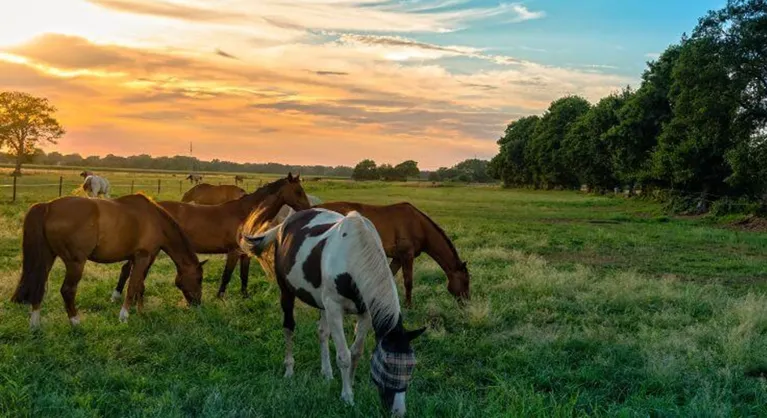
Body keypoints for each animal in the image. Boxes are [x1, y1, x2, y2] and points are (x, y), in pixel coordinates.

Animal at [11, 194, 206, 328]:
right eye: (199, 279)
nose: (197, 304)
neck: (155, 220)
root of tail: (49, 206)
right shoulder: (143, 257)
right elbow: (133, 286)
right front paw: (124, 316)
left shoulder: (139, 258)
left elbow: (139, 284)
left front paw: (140, 311)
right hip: (75, 263)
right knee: (67, 290)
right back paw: (75, 322)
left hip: (47, 258)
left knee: (39, 286)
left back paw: (35, 324)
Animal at [111, 173, 311, 301]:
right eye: (298, 191)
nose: (308, 209)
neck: (244, 214)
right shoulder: (233, 251)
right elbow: (227, 275)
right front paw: (220, 296)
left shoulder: (245, 253)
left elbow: (244, 275)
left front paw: (245, 296)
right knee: (127, 269)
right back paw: (117, 295)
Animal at [240, 208, 425, 416]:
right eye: (386, 364)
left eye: (411, 367)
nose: (398, 412)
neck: (353, 255)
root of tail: (284, 224)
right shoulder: (335, 309)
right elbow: (344, 356)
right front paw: (347, 397)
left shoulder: (365, 312)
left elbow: (356, 352)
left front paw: (350, 384)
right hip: (287, 291)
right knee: (288, 327)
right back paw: (289, 370)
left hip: (322, 304)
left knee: (322, 332)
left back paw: (327, 373)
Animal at [313, 202, 469, 307]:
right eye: (466, 281)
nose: (467, 302)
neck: (418, 225)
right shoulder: (407, 256)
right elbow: (408, 282)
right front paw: (408, 306)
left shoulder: (397, 258)